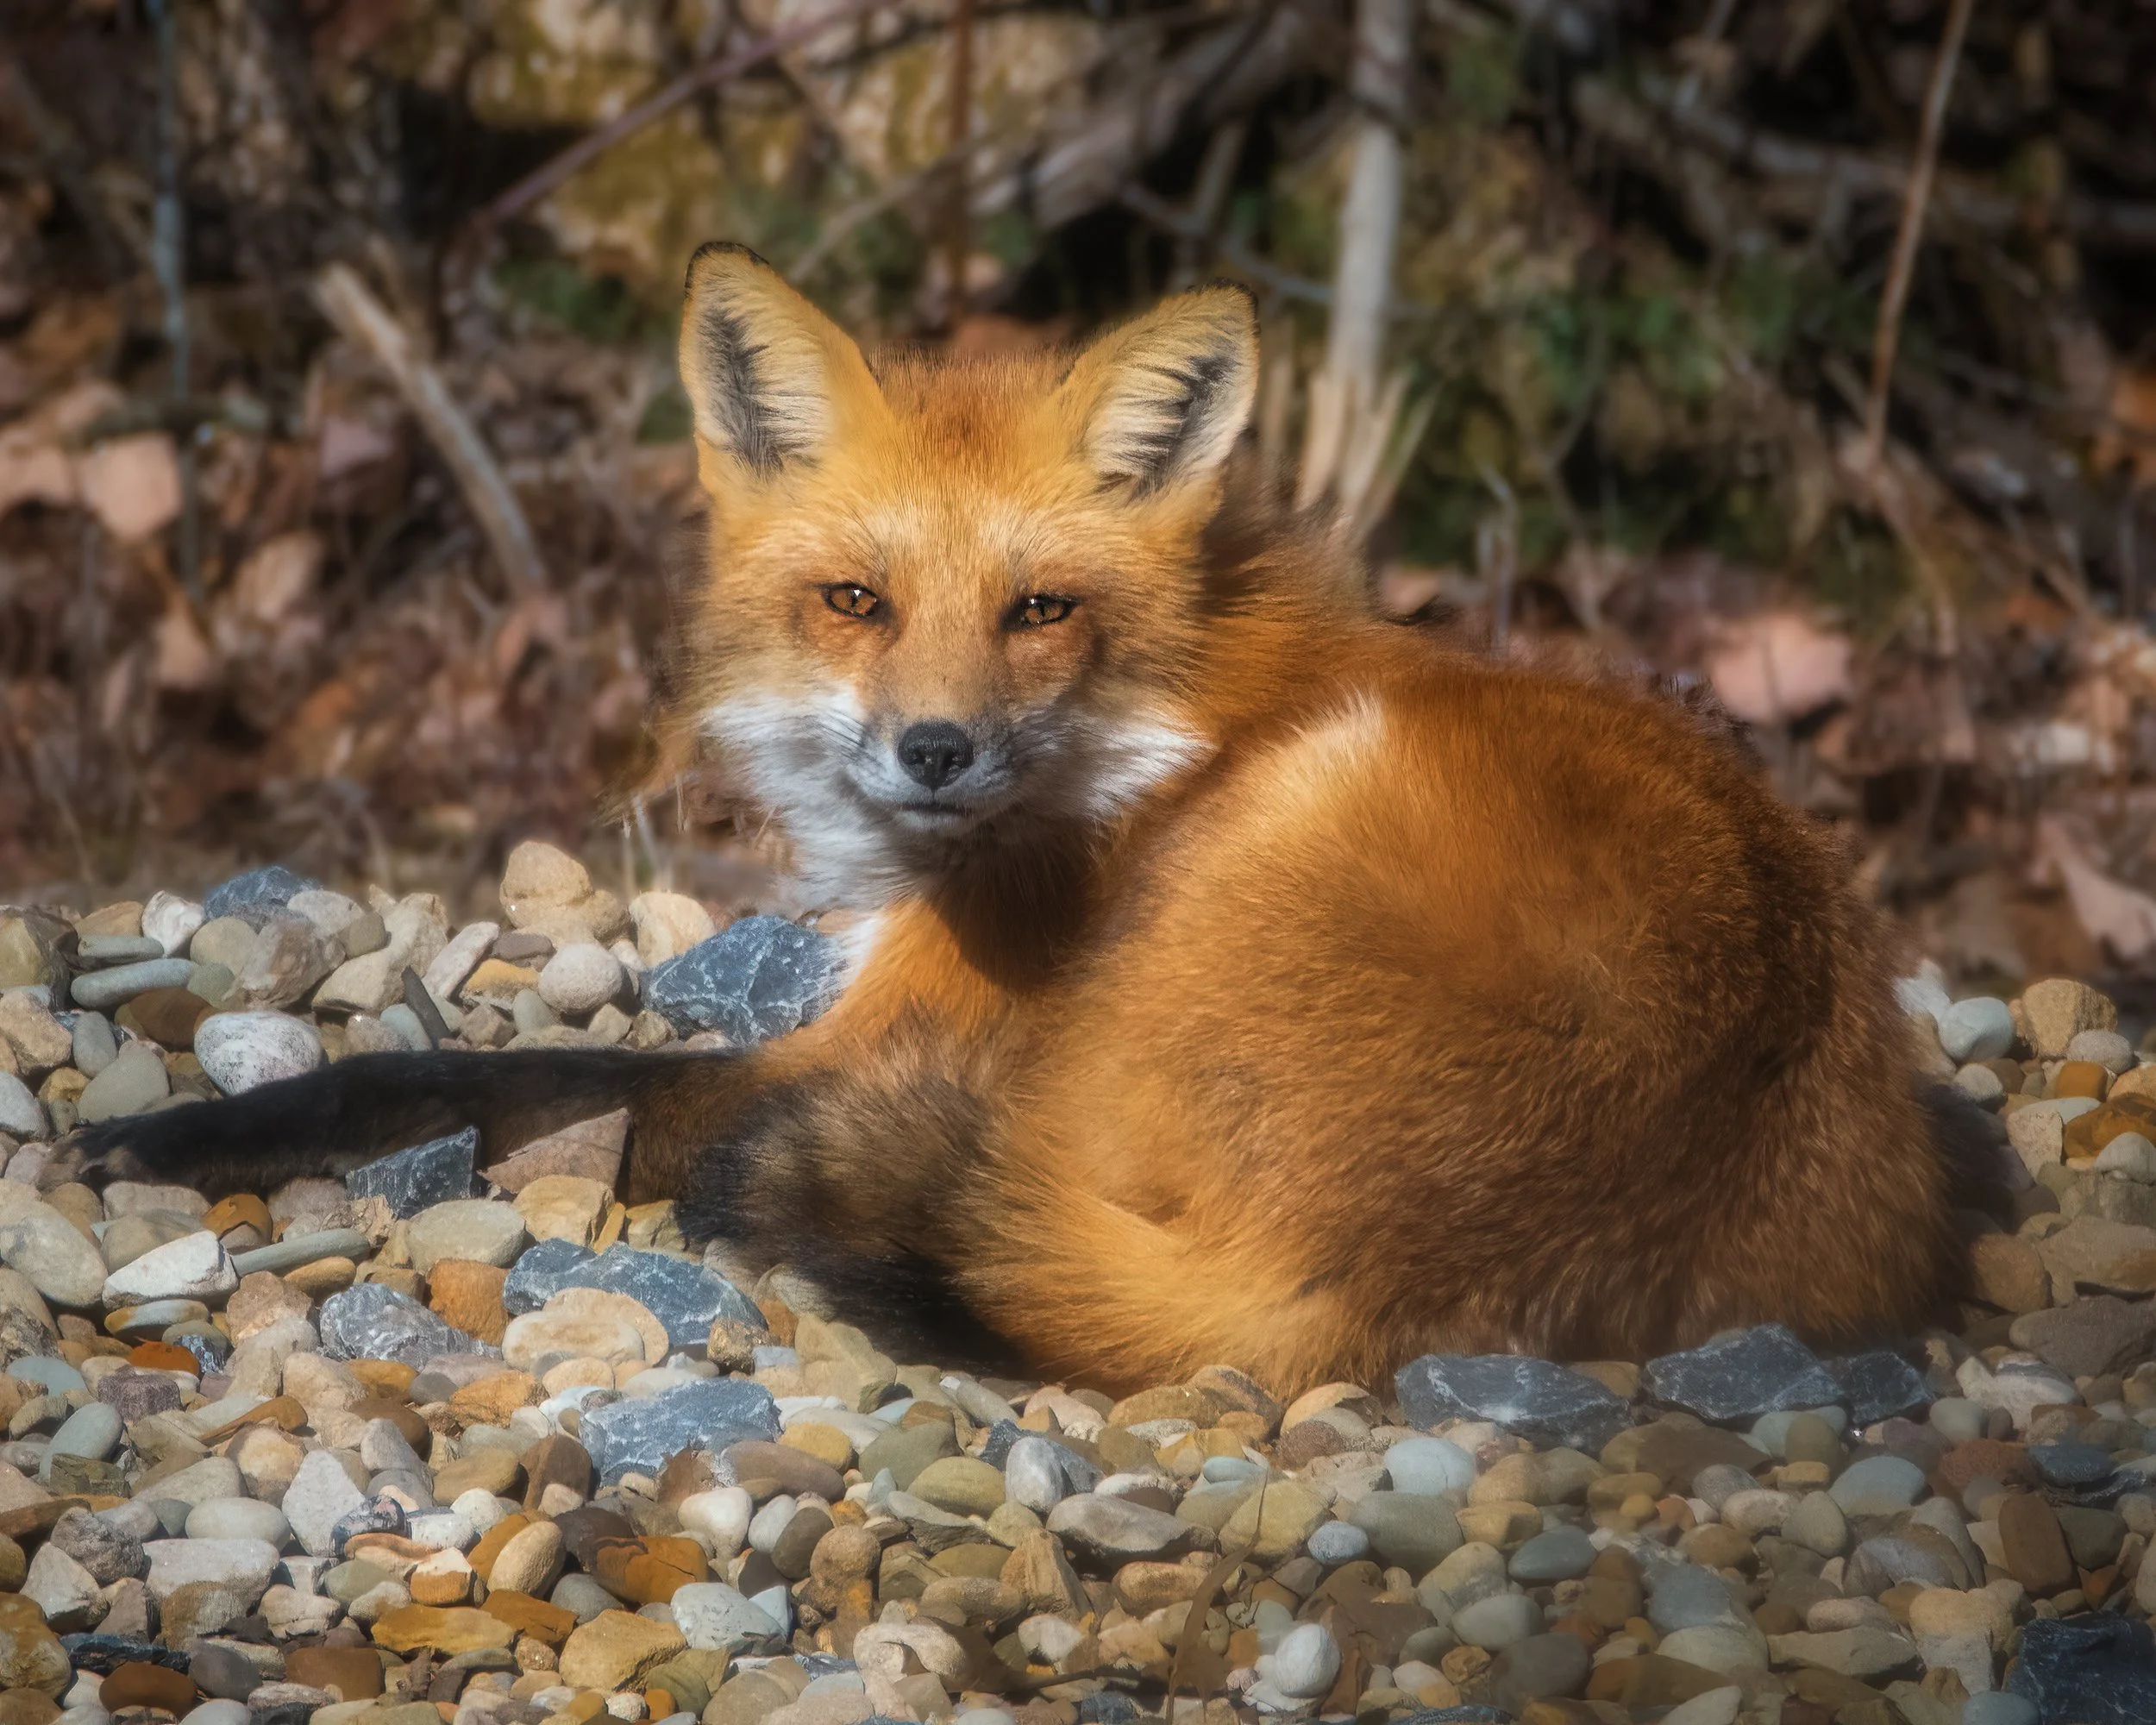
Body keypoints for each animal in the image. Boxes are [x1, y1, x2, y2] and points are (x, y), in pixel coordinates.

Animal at [72, 243, 1999, 1395]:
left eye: (1037, 610)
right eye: (855, 601)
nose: (933, 750)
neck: (1155, 733)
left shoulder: (872, 1038)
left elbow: (476, 1075)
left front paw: (180, 1137)